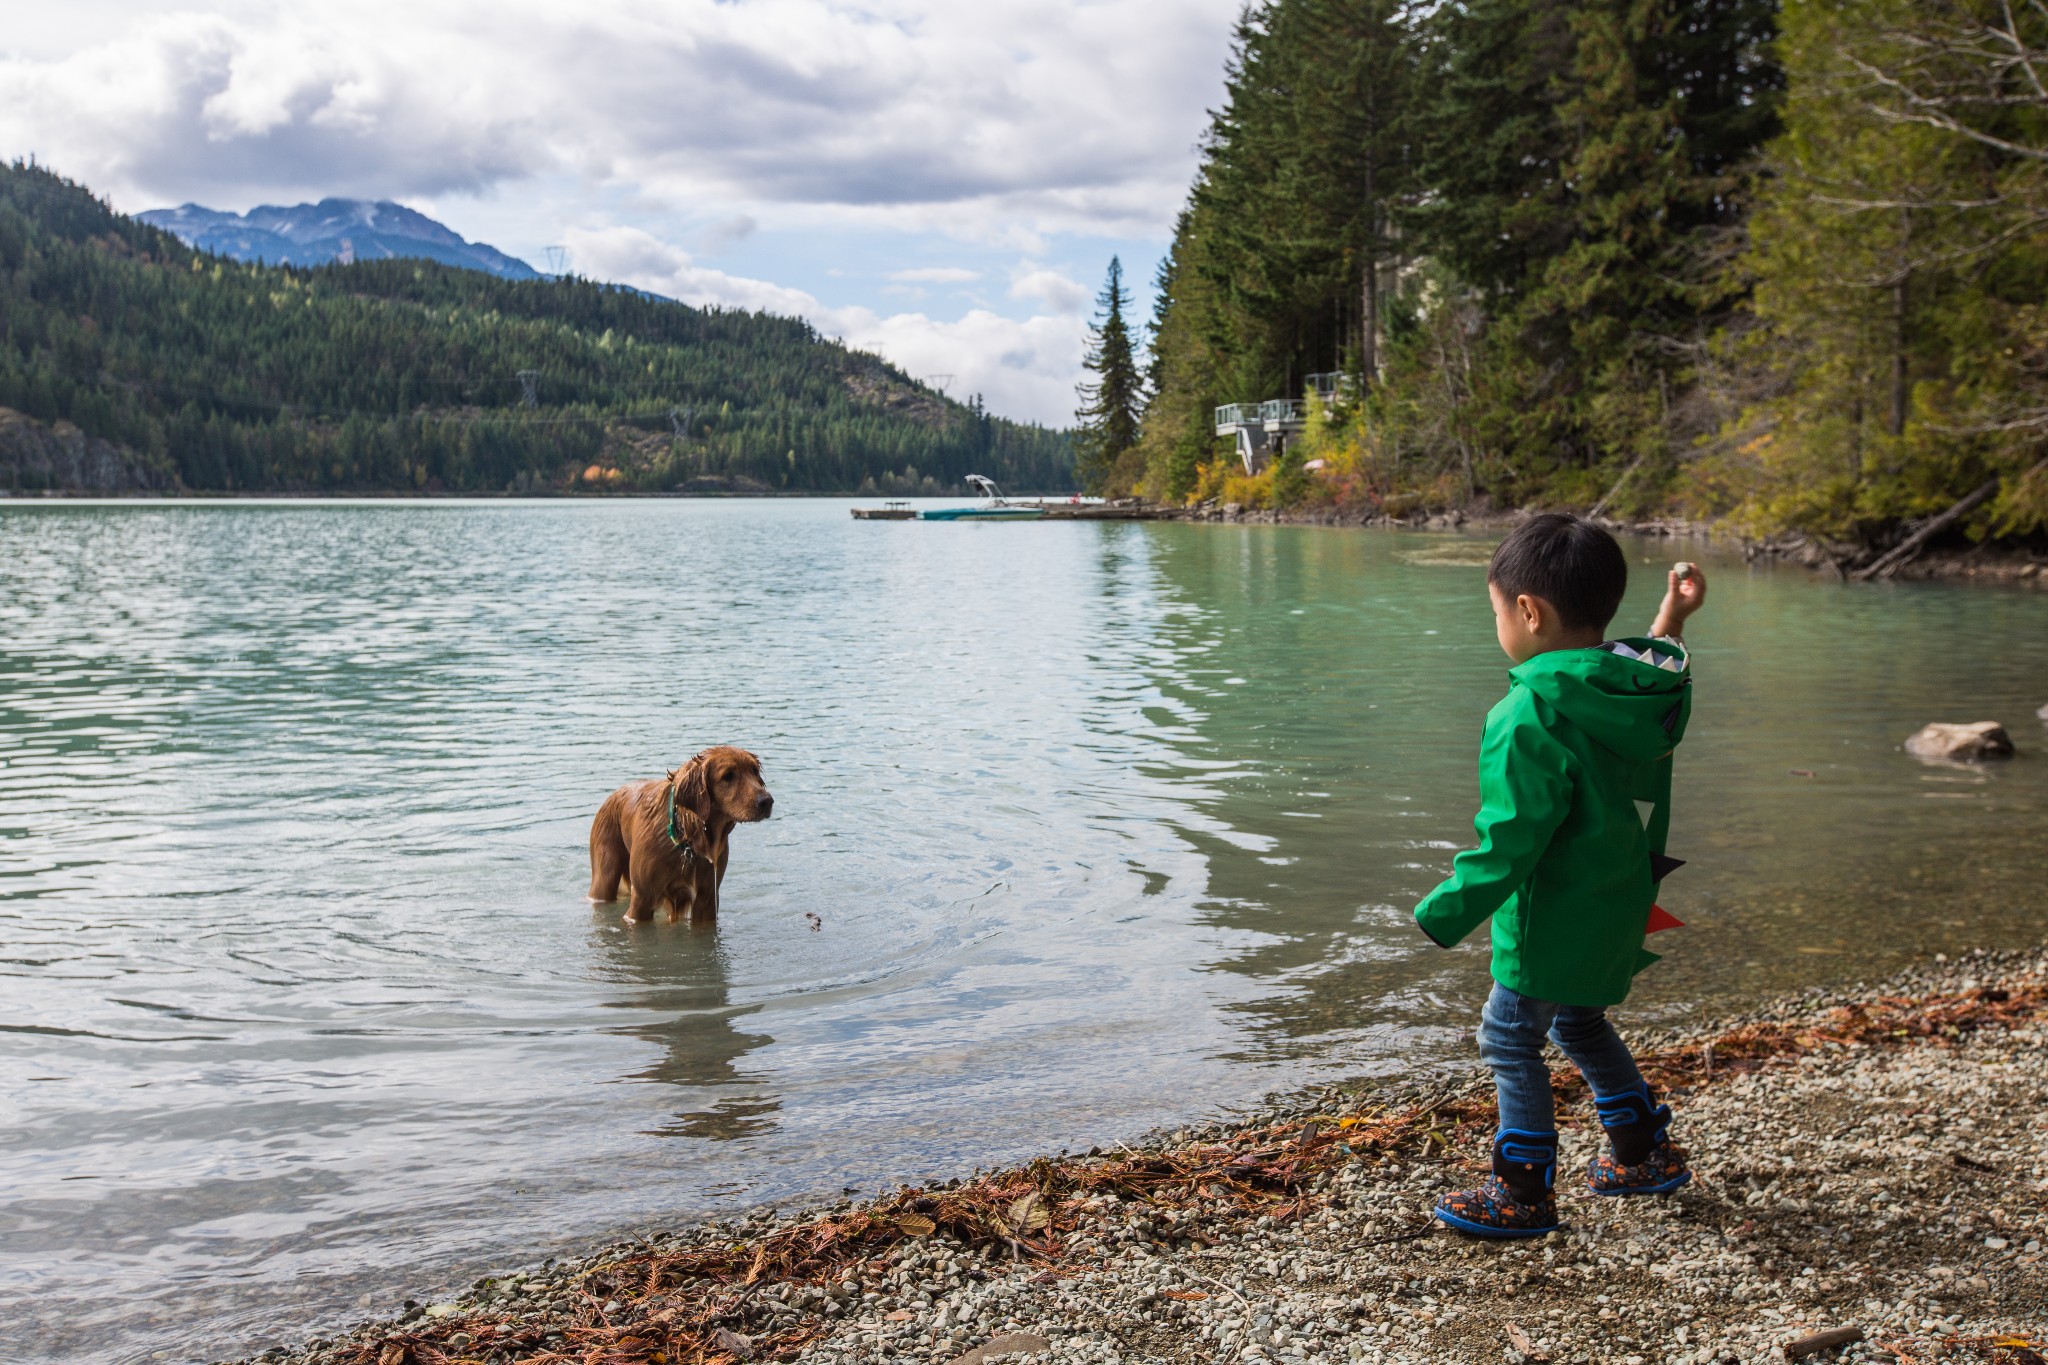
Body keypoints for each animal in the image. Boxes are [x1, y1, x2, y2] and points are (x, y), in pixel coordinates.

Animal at [585, 749, 774, 929]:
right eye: (728, 776)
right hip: (605, 876)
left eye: (754, 771)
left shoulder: (707, 899)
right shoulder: (642, 899)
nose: (767, 801)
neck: (688, 839)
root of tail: (614, 794)